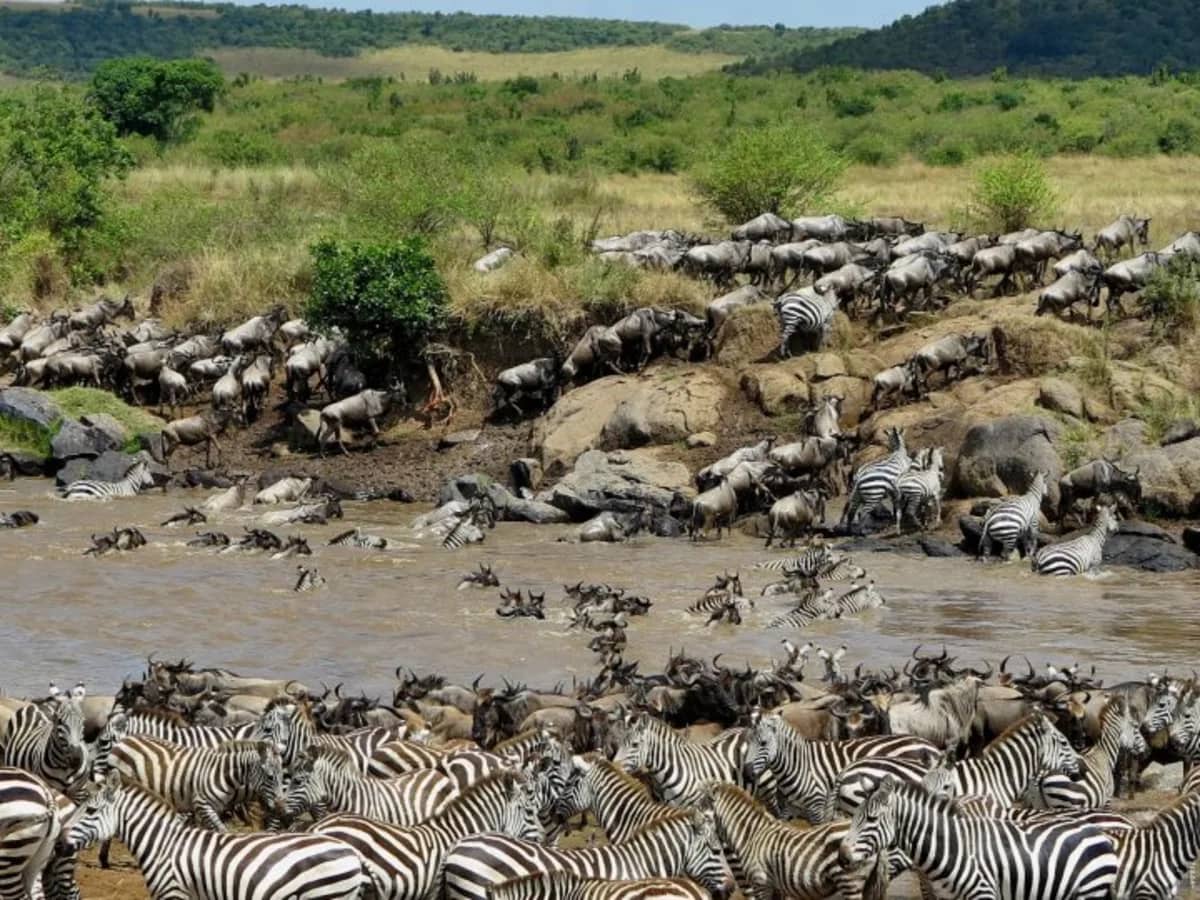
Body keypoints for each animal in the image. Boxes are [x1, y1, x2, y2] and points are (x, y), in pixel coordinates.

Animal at [109, 736, 284, 831]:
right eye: (270, 777)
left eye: (282, 777)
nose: (281, 808)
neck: (222, 773)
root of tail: (123, 740)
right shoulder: (202, 804)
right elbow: (222, 830)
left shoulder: (213, 808)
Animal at [741, 710, 939, 823]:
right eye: (747, 741)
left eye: (763, 743)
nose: (746, 773)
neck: (800, 765)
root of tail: (929, 745)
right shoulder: (790, 808)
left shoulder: (817, 807)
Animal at [837, 776, 1119, 900]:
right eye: (853, 817)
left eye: (871, 819)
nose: (842, 857)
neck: (953, 848)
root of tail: (1099, 834)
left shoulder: (984, 893)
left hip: (1090, 890)